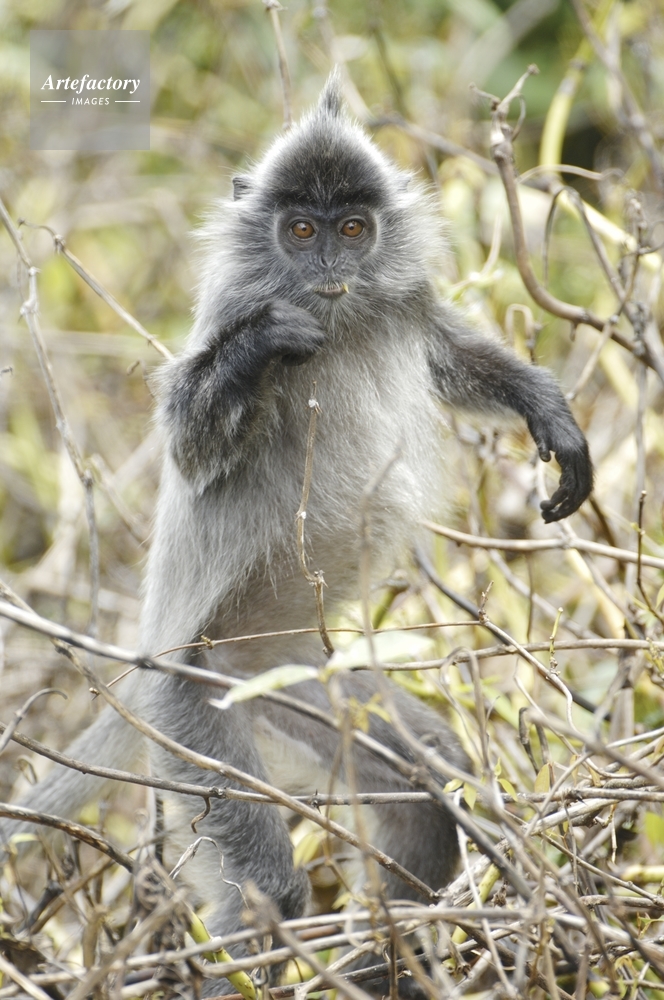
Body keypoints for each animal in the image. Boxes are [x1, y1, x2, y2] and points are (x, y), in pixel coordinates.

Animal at [1, 73, 592, 989]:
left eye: (352, 231)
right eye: (300, 232)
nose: (327, 271)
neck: (340, 321)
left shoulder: (403, 299)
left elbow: (453, 358)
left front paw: (549, 414)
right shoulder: (233, 307)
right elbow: (193, 446)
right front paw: (262, 348)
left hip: (291, 679)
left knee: (425, 777)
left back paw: (384, 959)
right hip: (191, 704)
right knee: (265, 897)